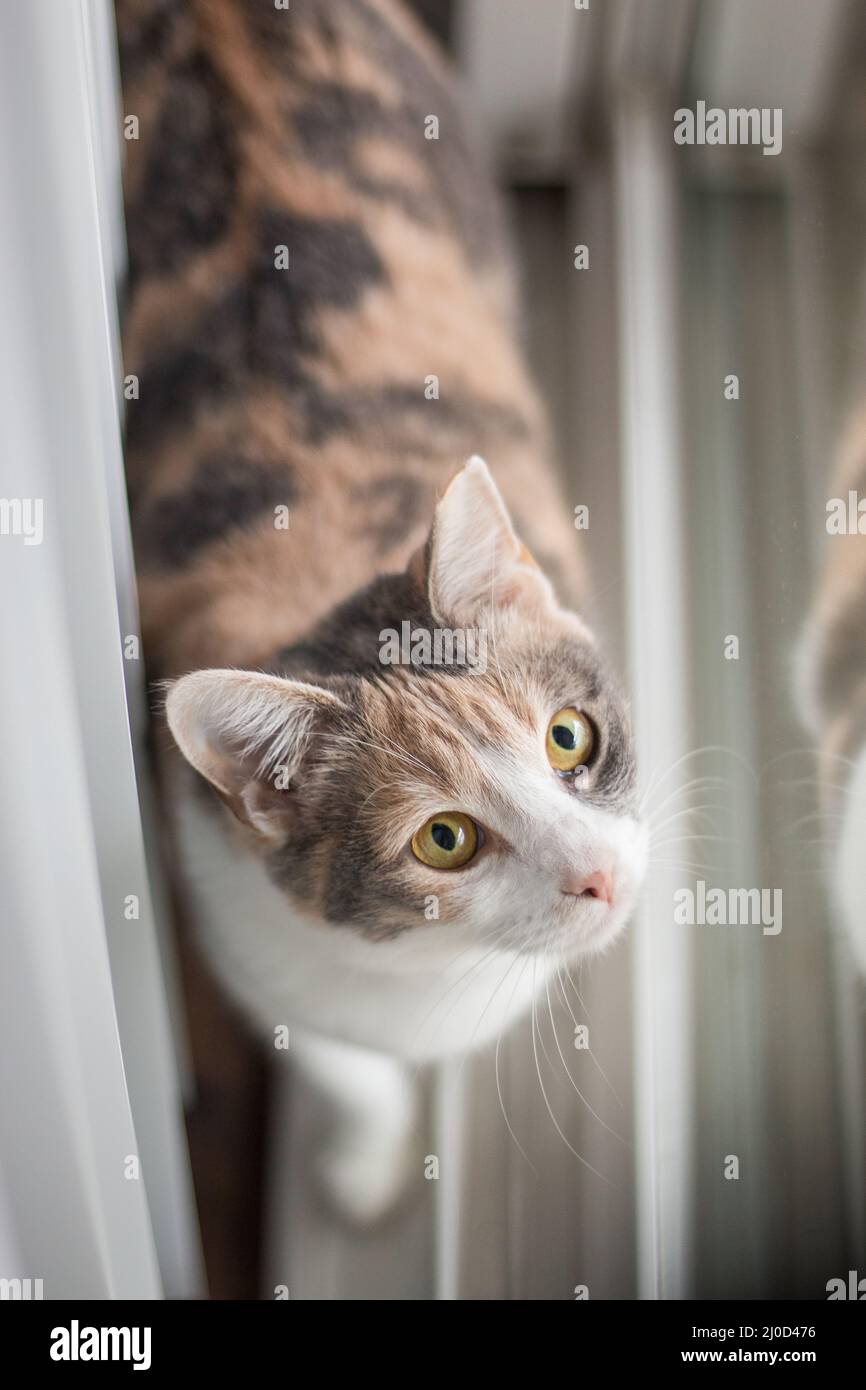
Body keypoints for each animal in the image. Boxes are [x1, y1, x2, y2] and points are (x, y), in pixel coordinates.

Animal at [115, 0, 647, 1217]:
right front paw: (363, 1169)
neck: (434, 972)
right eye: (443, 838)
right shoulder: (237, 917)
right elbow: (343, 1067)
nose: (599, 875)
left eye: (568, 738)